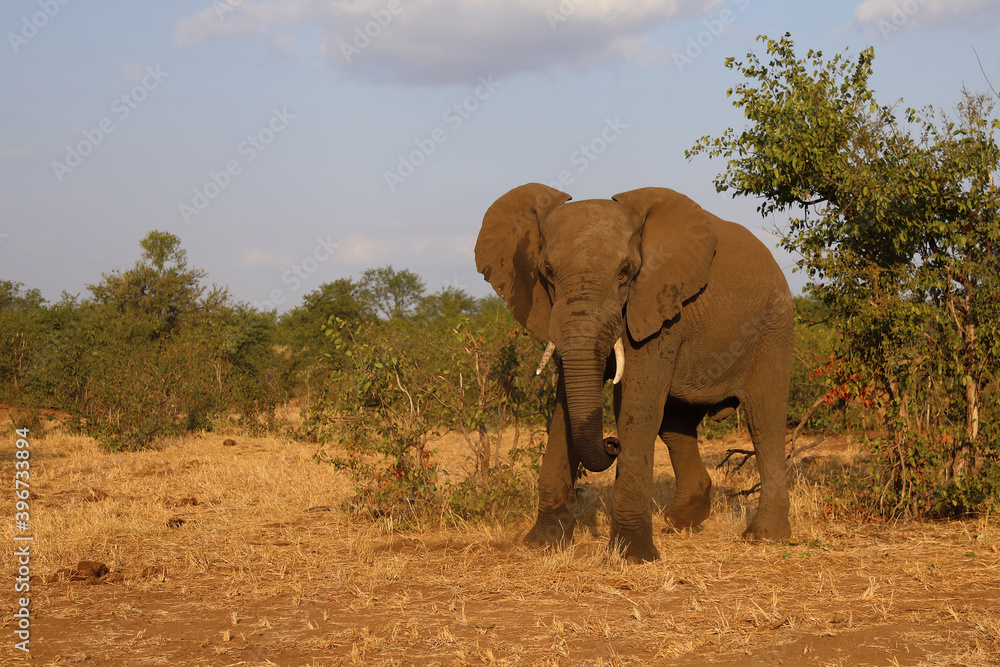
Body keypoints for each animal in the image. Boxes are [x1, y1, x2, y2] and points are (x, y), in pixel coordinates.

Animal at [474, 183, 794, 562]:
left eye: (626, 272)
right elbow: (566, 404)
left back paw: (764, 537)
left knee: (765, 419)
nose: (612, 443)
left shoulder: (659, 306)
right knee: (675, 425)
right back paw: (681, 520)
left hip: (773, 327)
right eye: (547, 271)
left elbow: (636, 404)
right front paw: (542, 543)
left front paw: (632, 555)